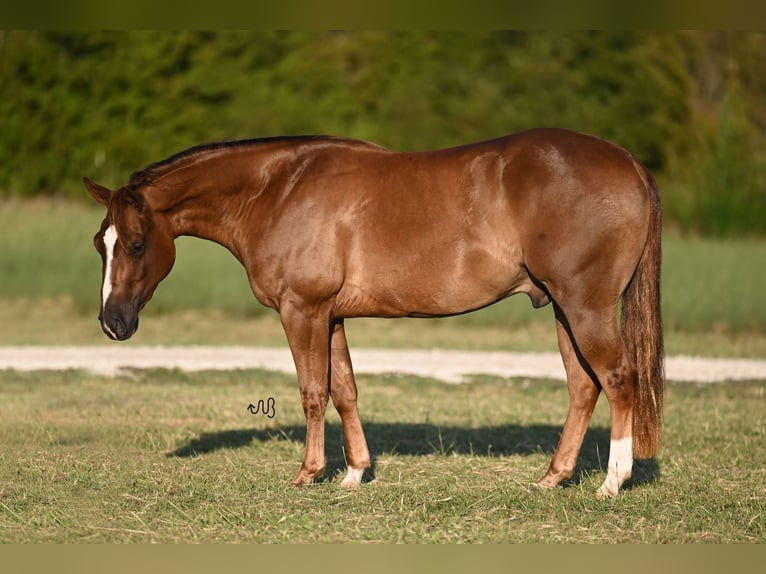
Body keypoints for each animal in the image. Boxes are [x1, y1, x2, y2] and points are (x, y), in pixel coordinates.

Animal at [87, 128, 664, 498]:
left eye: (136, 244)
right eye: (100, 243)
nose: (113, 323)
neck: (277, 189)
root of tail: (629, 162)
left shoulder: (302, 311)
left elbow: (313, 392)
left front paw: (309, 473)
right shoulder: (331, 316)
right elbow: (344, 390)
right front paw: (354, 473)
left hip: (585, 307)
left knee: (618, 379)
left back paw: (612, 482)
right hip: (562, 308)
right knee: (583, 387)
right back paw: (554, 477)